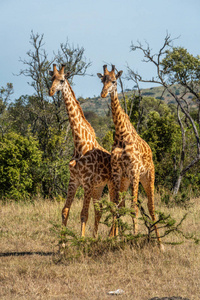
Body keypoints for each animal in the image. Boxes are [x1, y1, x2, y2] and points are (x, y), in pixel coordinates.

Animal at [48, 64, 112, 238]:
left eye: (62, 80)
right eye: (51, 78)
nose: (51, 91)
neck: (79, 144)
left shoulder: (87, 183)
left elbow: (84, 214)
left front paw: (82, 241)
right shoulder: (74, 180)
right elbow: (65, 211)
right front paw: (62, 243)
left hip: (112, 185)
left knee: (116, 208)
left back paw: (114, 237)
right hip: (99, 188)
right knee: (100, 210)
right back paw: (96, 237)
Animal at [97, 65, 163, 248]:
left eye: (114, 81)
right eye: (102, 80)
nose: (103, 94)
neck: (121, 134)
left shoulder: (134, 171)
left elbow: (134, 207)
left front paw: (134, 237)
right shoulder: (118, 173)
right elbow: (117, 206)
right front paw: (116, 239)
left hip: (147, 177)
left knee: (151, 207)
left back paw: (161, 245)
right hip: (126, 181)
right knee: (124, 204)